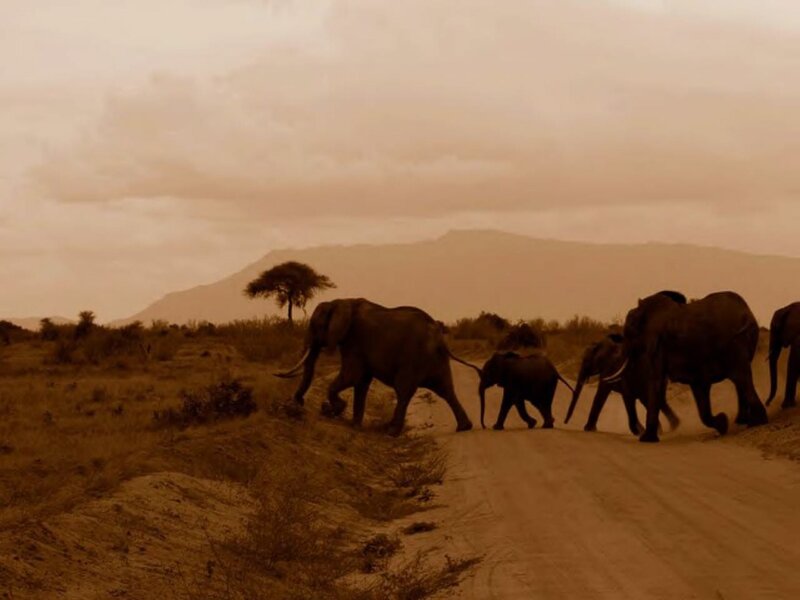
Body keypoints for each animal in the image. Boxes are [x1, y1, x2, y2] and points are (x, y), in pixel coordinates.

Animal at [275, 298, 475, 436]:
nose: (298, 402)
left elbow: (352, 375)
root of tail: (439, 337)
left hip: (414, 358)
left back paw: (391, 431)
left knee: (404, 390)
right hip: (436, 359)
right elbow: (361, 382)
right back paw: (464, 427)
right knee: (446, 389)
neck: (340, 302)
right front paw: (354, 425)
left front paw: (337, 409)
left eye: (315, 325)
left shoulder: (354, 340)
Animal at [617, 290, 768, 443]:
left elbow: (656, 382)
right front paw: (722, 423)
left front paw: (646, 439)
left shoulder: (658, 346)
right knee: (740, 378)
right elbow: (699, 388)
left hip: (734, 343)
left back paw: (756, 422)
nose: (638, 433)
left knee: (741, 377)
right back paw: (744, 421)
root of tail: (746, 313)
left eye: (628, 333)